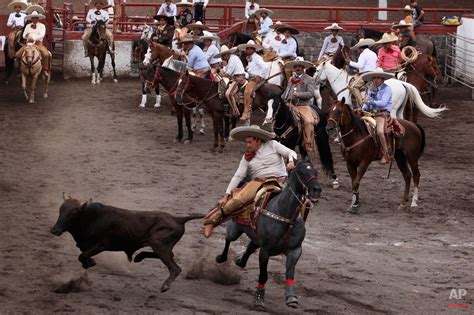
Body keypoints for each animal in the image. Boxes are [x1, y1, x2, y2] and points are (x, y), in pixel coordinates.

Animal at [216, 160, 322, 312]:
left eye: (315, 172)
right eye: (301, 172)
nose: (316, 190)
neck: (286, 217)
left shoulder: (295, 250)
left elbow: (290, 273)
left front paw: (291, 297)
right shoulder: (265, 251)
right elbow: (263, 276)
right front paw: (259, 300)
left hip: (256, 238)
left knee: (250, 246)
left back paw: (240, 261)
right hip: (234, 230)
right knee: (228, 240)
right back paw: (221, 258)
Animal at [314, 60, 444, 119]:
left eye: (317, 70)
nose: (314, 81)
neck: (343, 82)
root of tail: (402, 83)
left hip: (392, 110)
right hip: (400, 109)